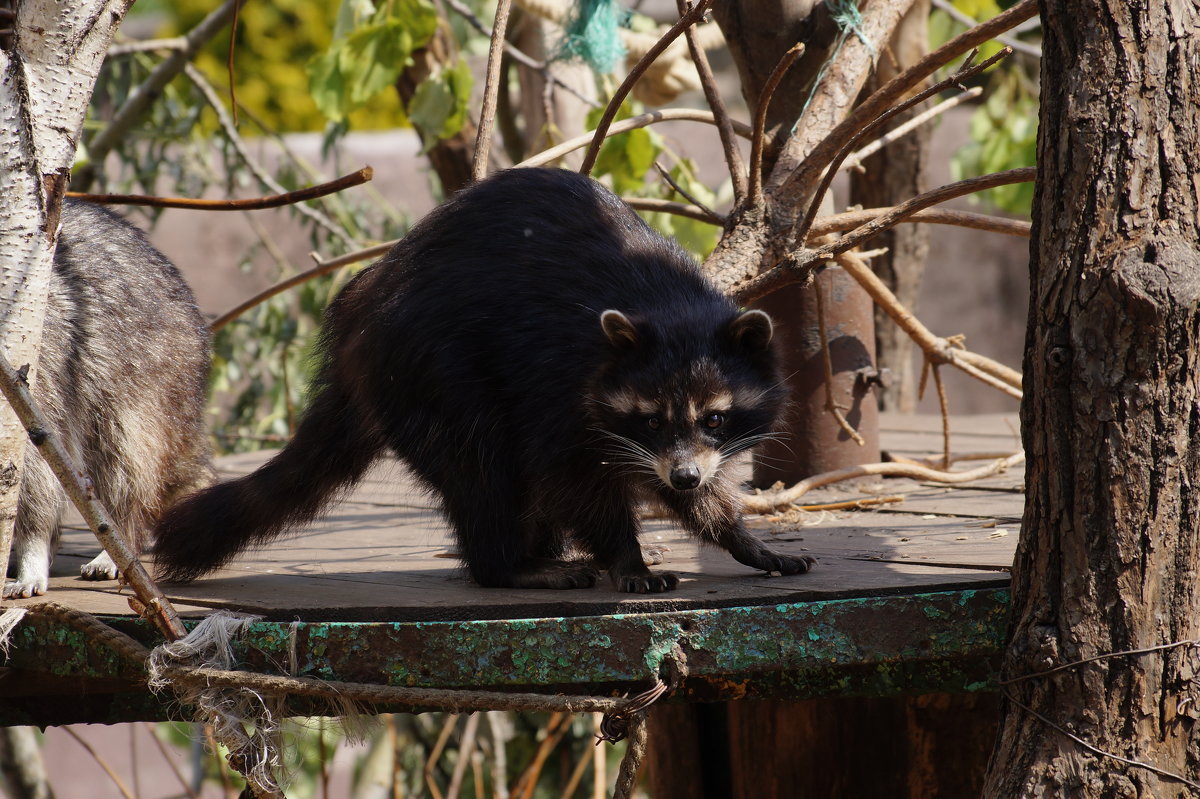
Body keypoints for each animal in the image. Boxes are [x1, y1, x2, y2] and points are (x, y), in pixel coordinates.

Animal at [4, 202, 214, 595]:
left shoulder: (33, 374)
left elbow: (36, 473)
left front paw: (32, 551)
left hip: (147, 369)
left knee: (124, 456)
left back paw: (121, 537)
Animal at [152, 167, 816, 590]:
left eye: (715, 417)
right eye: (649, 418)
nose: (682, 476)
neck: (669, 304)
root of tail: (358, 322)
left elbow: (686, 488)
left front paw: (733, 531)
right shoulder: (557, 382)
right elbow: (573, 478)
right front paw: (625, 555)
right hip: (429, 367)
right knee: (481, 463)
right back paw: (508, 564)